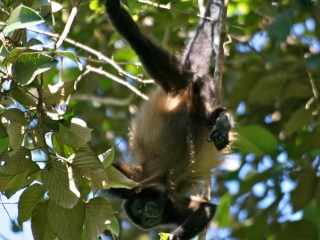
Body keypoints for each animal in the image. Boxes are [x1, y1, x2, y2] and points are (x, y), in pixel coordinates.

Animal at [105, 0, 232, 238]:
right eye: (140, 215)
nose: (148, 217)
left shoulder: (133, 182)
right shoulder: (170, 208)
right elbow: (207, 210)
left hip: (187, 82)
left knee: (140, 43)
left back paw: (221, 123)